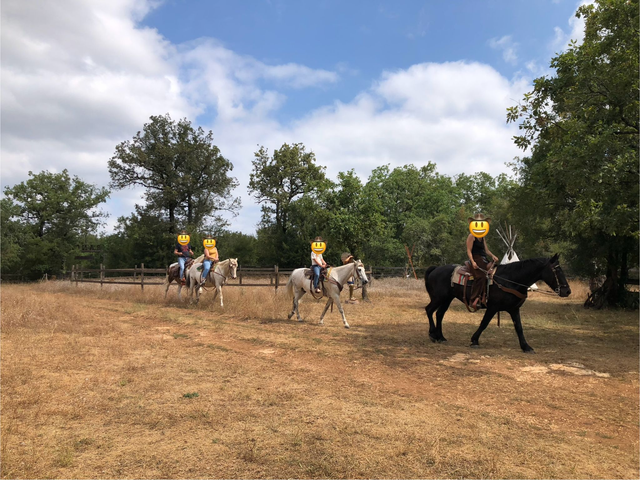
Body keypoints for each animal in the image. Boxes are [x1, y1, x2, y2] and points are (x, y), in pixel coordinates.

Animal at [424, 254, 571, 353]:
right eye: (556, 270)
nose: (567, 291)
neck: (510, 280)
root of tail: (435, 268)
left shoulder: (514, 309)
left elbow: (519, 328)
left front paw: (526, 347)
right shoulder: (492, 308)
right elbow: (484, 323)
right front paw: (474, 340)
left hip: (447, 299)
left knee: (439, 314)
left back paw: (440, 337)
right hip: (438, 298)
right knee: (429, 310)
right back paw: (432, 334)